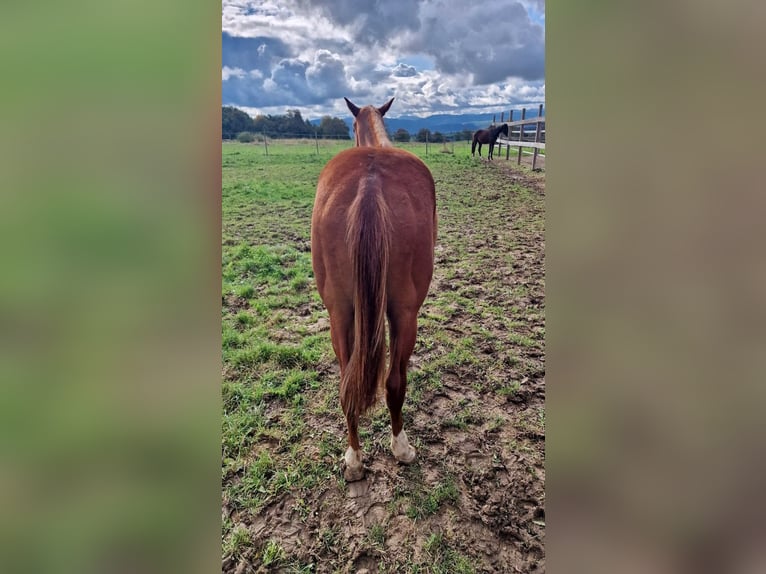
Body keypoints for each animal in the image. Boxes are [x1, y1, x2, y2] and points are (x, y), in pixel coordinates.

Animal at [311, 97, 437, 481]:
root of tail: (370, 181)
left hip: (339, 313)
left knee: (346, 386)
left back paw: (353, 459)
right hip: (406, 313)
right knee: (395, 383)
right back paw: (402, 448)